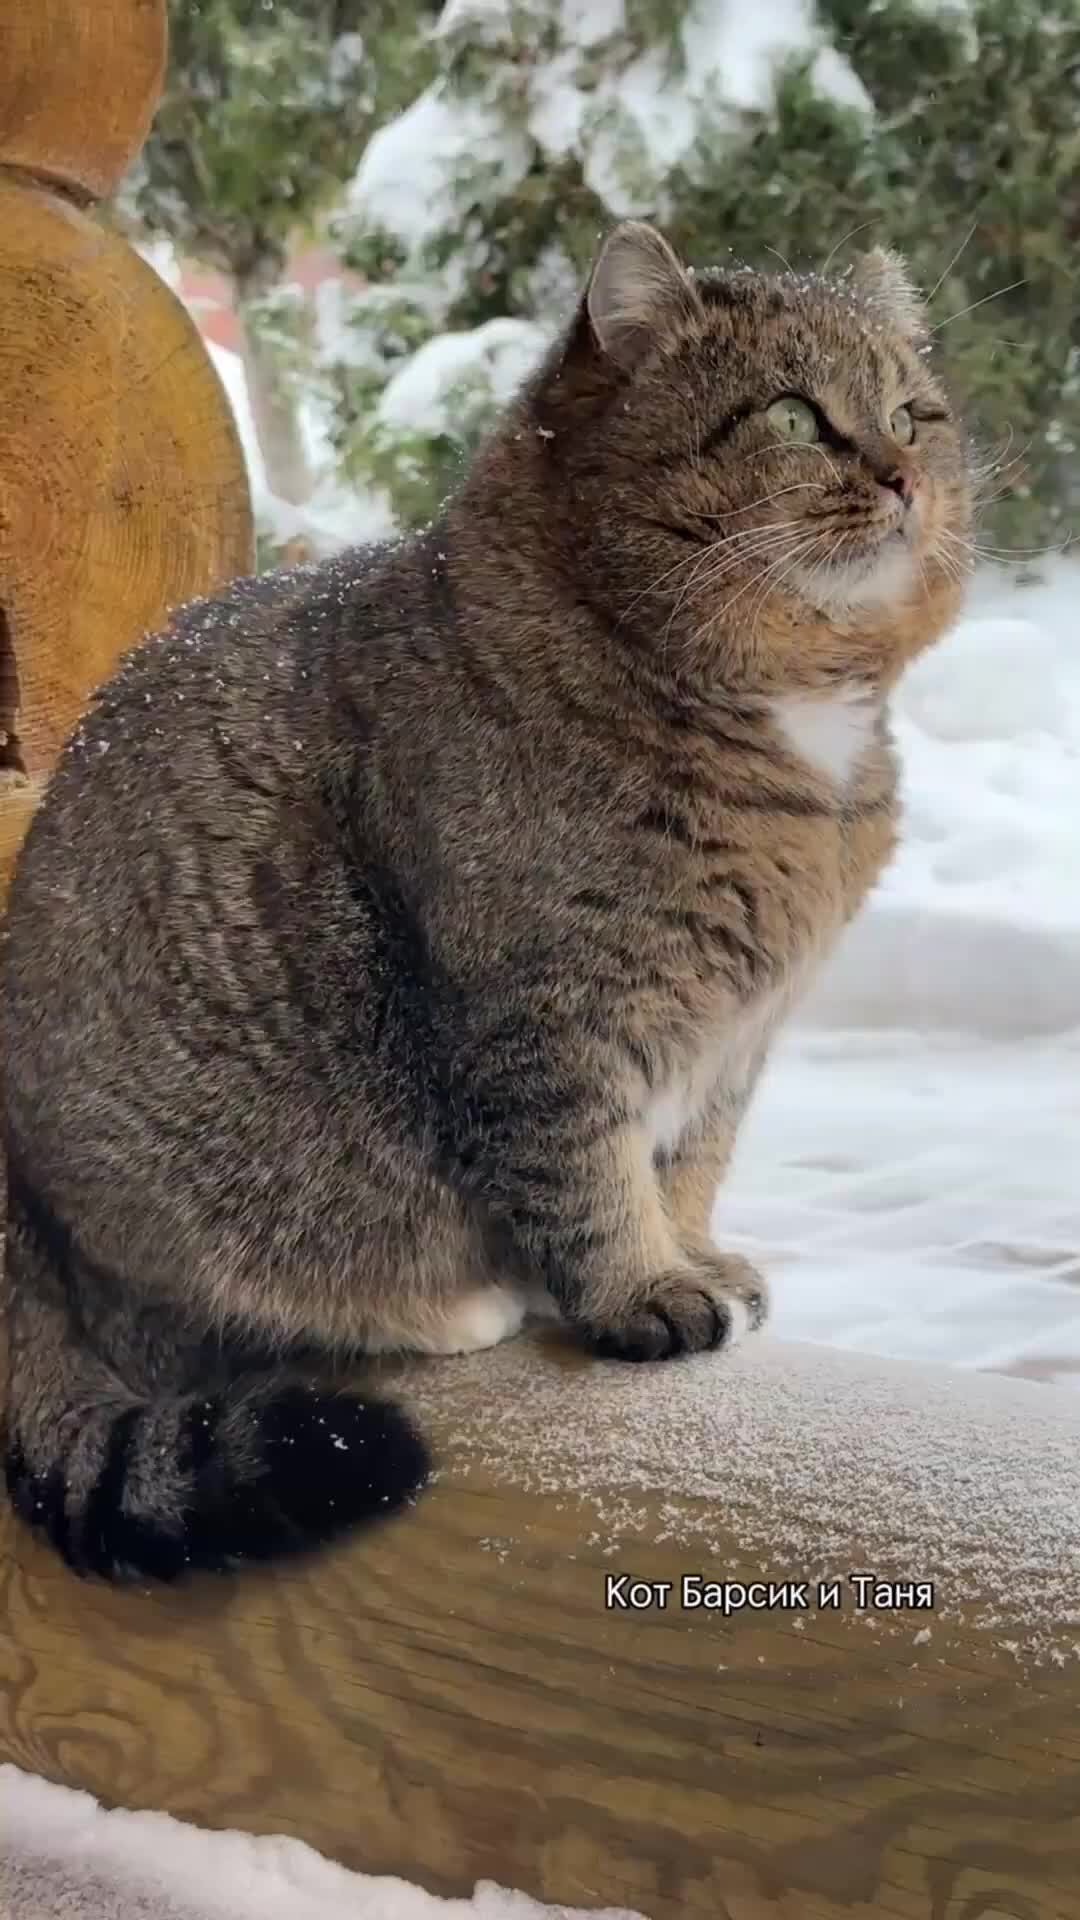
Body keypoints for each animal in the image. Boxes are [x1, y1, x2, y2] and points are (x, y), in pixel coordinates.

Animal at [0, 224, 972, 1582]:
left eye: (913, 413)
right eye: (793, 415)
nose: (901, 474)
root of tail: (22, 1236)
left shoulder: (733, 1041)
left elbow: (688, 1166)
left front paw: (692, 1252)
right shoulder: (547, 1016)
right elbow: (587, 1177)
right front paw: (643, 1294)